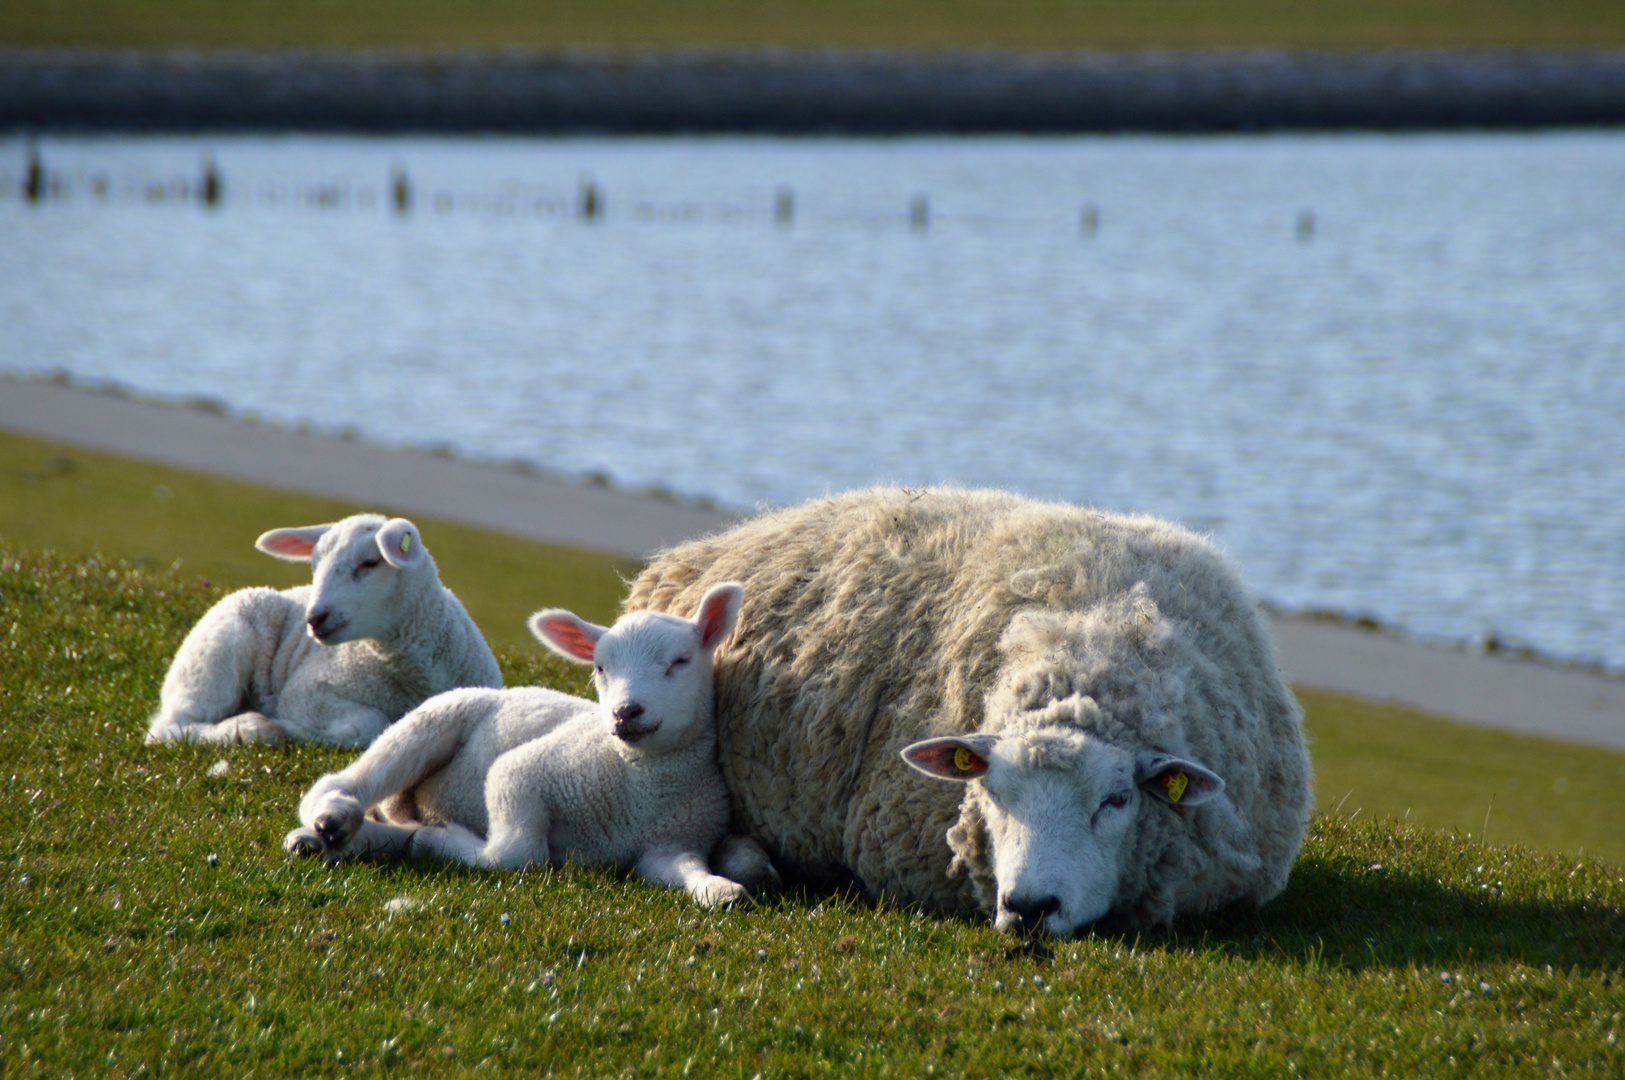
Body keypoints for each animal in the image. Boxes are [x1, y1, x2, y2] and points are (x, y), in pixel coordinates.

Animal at [145, 509, 500, 747]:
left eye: (370, 563)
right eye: (315, 566)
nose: (315, 618)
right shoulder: (305, 693)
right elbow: (369, 723)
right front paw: (291, 730)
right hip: (215, 656)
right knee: (170, 728)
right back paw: (247, 728)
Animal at [282, 581, 757, 909]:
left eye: (681, 661)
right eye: (600, 667)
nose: (625, 712)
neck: (641, 782)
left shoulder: (671, 843)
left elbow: (687, 869)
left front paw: (722, 890)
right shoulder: (524, 772)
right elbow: (516, 853)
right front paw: (441, 840)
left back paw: (338, 840)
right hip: (430, 723)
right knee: (342, 782)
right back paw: (333, 818)